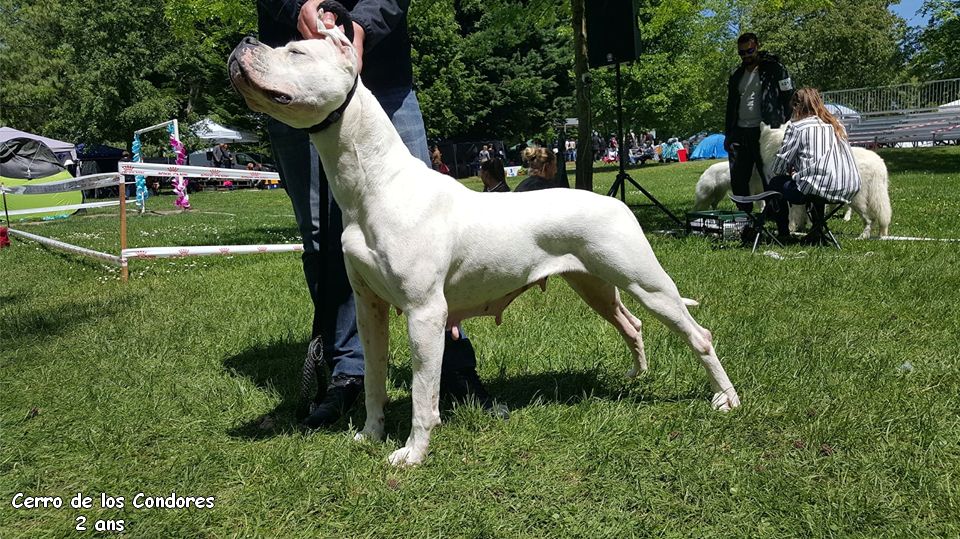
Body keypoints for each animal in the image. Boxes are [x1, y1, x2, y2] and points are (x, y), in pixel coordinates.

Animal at [231, 31, 744, 466]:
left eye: (296, 51)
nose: (244, 42)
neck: (374, 185)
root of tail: (614, 200)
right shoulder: (368, 306)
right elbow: (374, 379)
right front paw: (370, 435)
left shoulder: (425, 313)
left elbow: (422, 394)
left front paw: (412, 455)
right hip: (594, 285)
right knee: (631, 325)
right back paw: (637, 378)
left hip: (646, 282)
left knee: (699, 335)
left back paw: (727, 399)